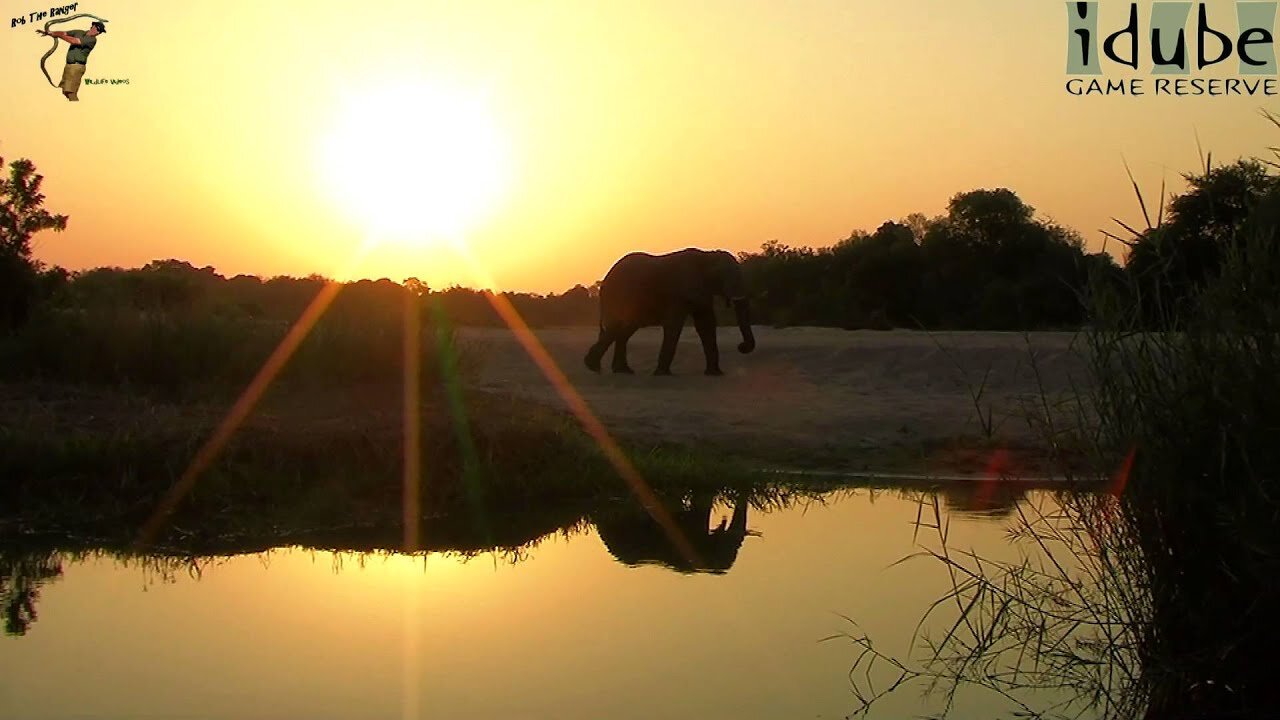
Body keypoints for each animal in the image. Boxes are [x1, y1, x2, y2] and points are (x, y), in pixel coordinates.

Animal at [586, 248, 752, 376]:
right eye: (728, 276)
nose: (741, 346)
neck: (707, 256)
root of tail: (606, 279)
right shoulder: (679, 293)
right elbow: (674, 325)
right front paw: (662, 374)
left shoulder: (702, 293)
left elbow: (706, 325)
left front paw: (715, 373)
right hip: (619, 296)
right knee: (617, 326)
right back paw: (593, 367)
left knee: (624, 330)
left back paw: (621, 370)